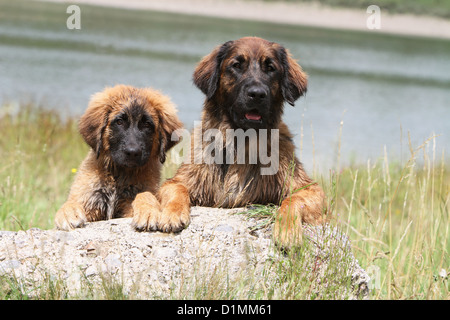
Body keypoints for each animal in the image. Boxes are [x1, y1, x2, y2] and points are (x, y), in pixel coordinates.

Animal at [55, 85, 183, 230]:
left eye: (147, 125)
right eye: (120, 122)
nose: (132, 152)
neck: (118, 176)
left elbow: (144, 194)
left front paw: (148, 211)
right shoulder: (90, 201)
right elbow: (71, 202)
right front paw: (68, 212)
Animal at [132, 37, 326, 248]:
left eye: (270, 68)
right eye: (236, 65)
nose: (257, 94)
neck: (240, 141)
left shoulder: (309, 188)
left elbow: (293, 200)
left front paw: (288, 231)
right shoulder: (182, 179)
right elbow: (177, 189)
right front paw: (171, 214)